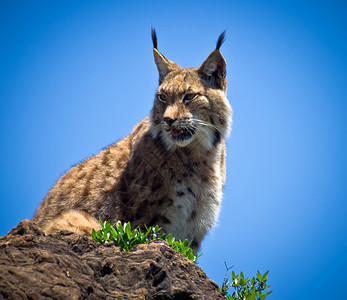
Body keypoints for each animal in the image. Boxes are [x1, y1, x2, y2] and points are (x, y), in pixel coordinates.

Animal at [33, 29, 234, 253]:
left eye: (189, 96)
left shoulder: (194, 231)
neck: (202, 153)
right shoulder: (146, 222)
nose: (167, 119)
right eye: (162, 97)